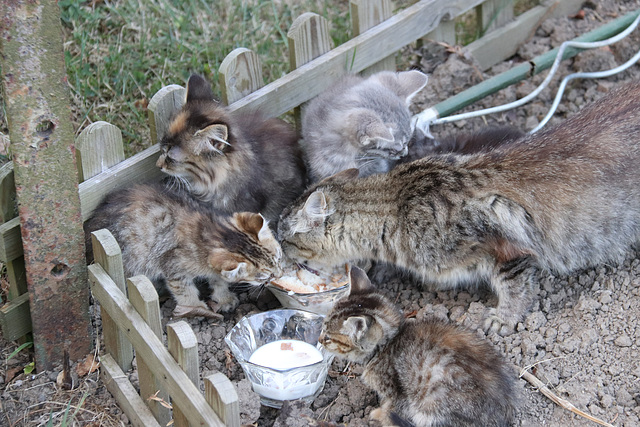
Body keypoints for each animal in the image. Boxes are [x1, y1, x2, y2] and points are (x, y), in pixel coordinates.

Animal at [85, 182, 282, 320]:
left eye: (279, 258)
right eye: (264, 277)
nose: (280, 275)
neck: (210, 231)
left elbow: (218, 279)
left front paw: (223, 297)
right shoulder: (173, 266)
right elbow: (184, 290)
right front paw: (196, 308)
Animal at [278, 82, 640, 336]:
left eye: (284, 237)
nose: (280, 254)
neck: (397, 203)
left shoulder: (506, 244)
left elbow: (516, 287)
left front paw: (503, 318)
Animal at [322, 268, 516, 427]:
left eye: (328, 336)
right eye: (323, 328)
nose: (320, 338)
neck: (389, 342)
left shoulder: (399, 391)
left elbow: (392, 408)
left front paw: (380, 416)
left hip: (432, 400)